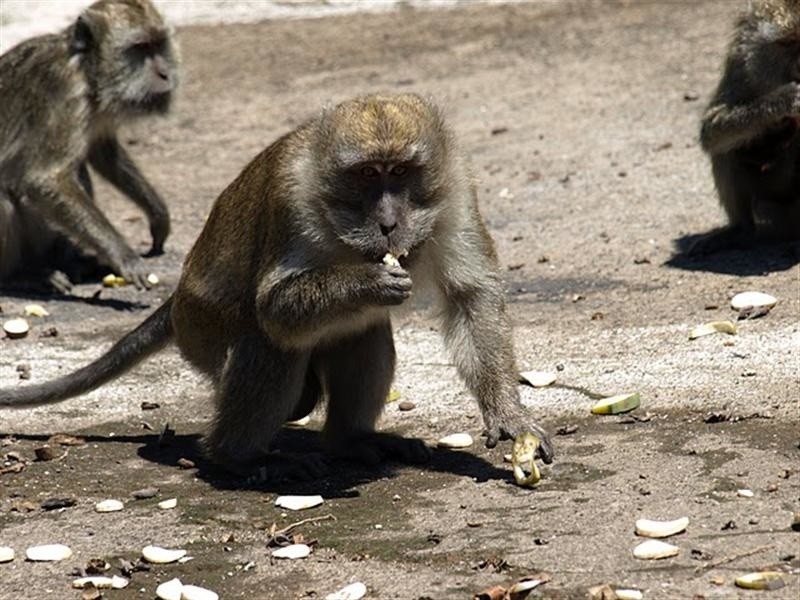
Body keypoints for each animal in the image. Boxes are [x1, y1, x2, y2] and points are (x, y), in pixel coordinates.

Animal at [0, 0, 178, 290]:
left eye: (158, 44)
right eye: (140, 48)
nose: (165, 74)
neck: (84, 71)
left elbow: (102, 151)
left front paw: (158, 215)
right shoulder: (64, 93)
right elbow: (44, 179)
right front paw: (124, 256)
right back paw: (21, 276)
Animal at [0, 92, 556, 478]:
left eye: (400, 172)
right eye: (365, 175)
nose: (388, 222)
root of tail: (176, 302)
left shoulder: (455, 187)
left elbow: (470, 296)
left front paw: (510, 418)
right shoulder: (292, 199)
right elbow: (274, 308)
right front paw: (366, 282)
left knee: (362, 336)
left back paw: (348, 441)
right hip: (204, 335)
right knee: (268, 343)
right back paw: (235, 458)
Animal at [692, 0, 800, 255]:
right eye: (788, 43)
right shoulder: (742, 64)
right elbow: (712, 130)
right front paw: (782, 102)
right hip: (771, 205)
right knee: (726, 152)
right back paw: (740, 230)